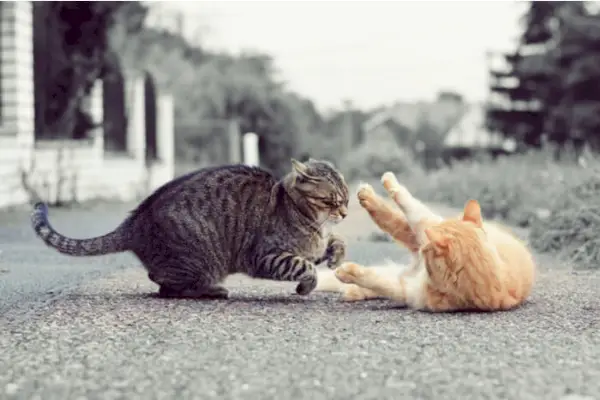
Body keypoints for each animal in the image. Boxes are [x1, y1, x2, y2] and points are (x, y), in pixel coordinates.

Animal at [31, 158, 352, 298]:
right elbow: (305, 268)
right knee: (163, 284)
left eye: (347, 198)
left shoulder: (316, 244)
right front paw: (306, 286)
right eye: (331, 200)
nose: (346, 213)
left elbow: (335, 243)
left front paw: (336, 256)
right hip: (201, 259)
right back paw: (213, 291)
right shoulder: (267, 257)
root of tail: (135, 220)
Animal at [316, 172, 536, 312]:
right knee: (397, 217)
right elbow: (410, 205)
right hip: (422, 227)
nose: (422, 250)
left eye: (427, 253)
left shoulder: (407, 291)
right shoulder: (426, 223)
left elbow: (378, 281)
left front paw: (349, 273)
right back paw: (370, 195)